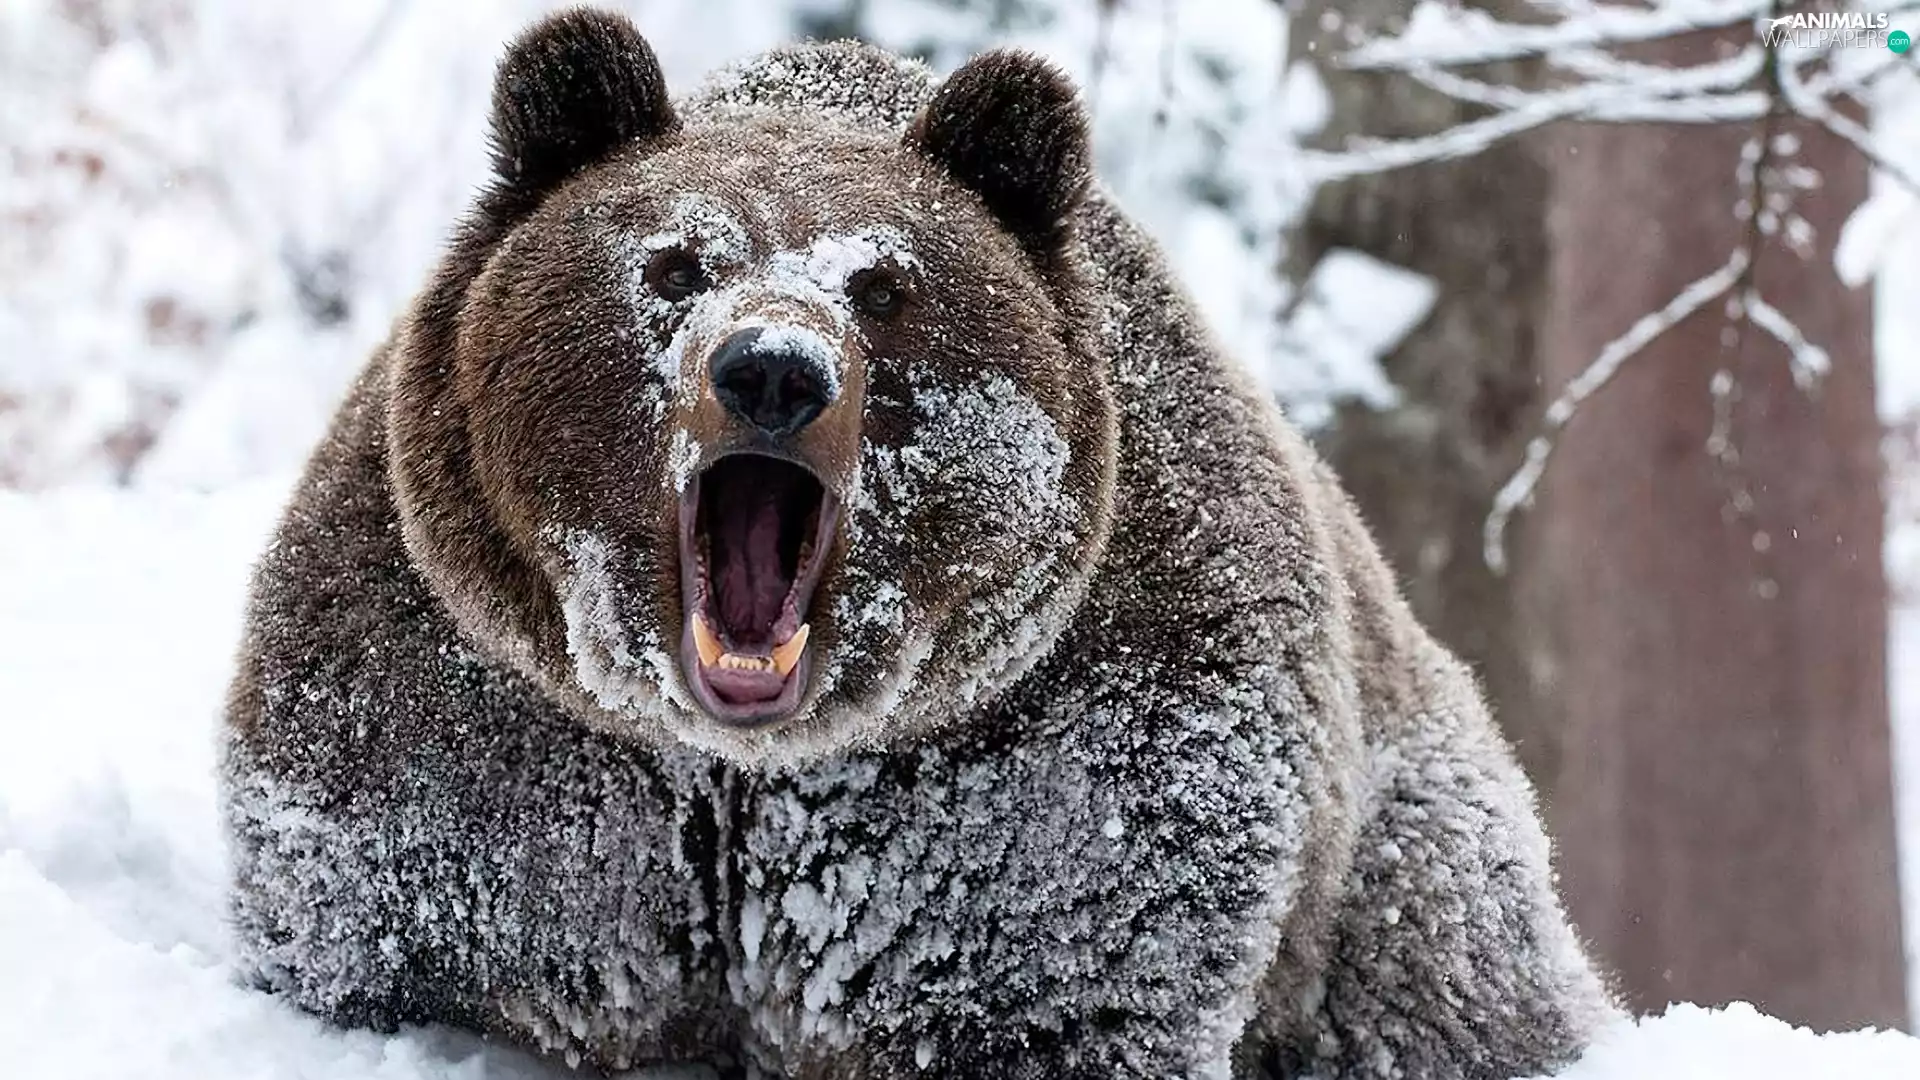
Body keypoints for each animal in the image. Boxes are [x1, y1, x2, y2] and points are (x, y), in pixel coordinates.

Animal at [219, 9, 1619, 1079]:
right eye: (673, 263)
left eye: (885, 286)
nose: (771, 370)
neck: (745, 771)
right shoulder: (477, 729)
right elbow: (396, 926)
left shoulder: (1060, 771)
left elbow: (1055, 979)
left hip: (1404, 858)